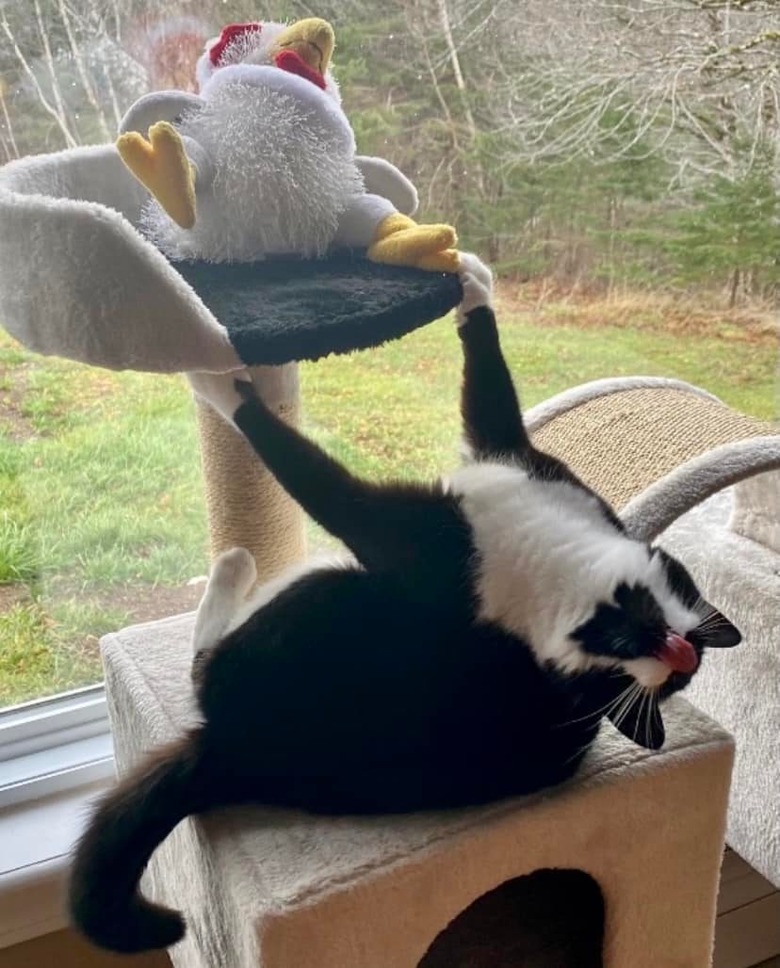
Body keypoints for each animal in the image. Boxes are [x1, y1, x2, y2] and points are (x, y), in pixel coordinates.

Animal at [65, 258, 736, 952]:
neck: (553, 560)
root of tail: (233, 750)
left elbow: (314, 477)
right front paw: (469, 282)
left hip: (324, 599)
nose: (678, 657)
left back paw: (234, 563)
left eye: (610, 686)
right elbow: (490, 394)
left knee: (205, 663)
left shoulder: (416, 544)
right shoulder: (526, 464)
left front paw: (221, 381)